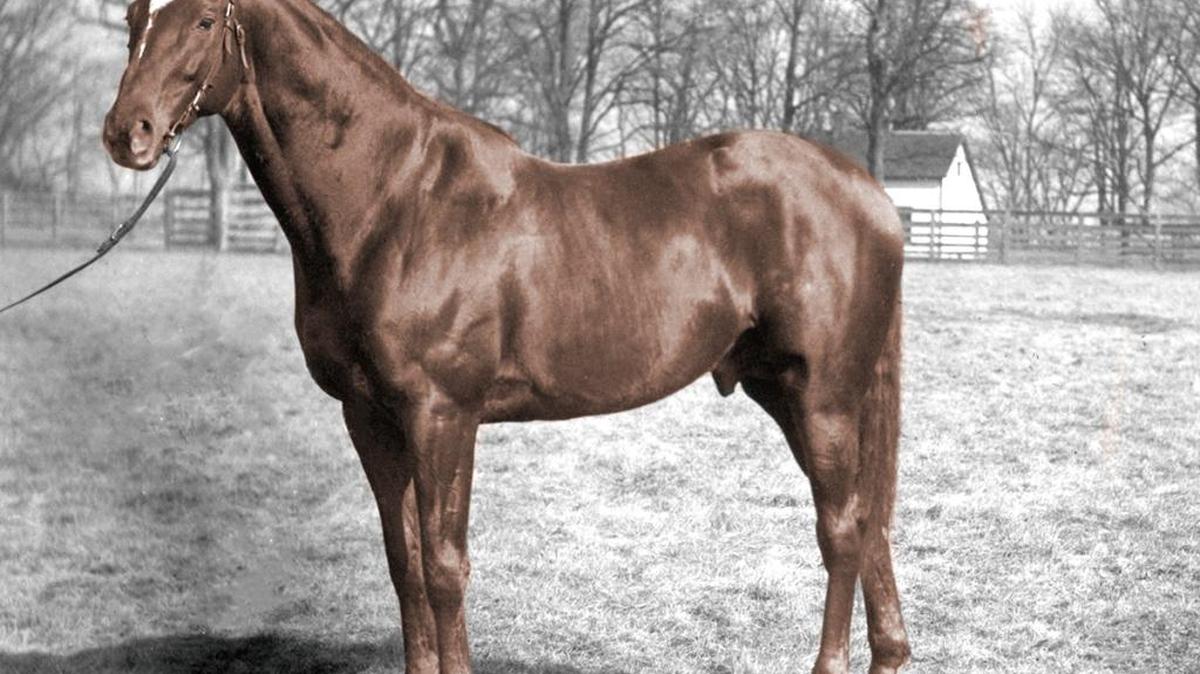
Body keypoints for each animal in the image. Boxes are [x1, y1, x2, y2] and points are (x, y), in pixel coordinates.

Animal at [102, 1, 910, 672]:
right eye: (133, 16)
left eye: (204, 19)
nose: (125, 133)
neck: (394, 203)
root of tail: (868, 193)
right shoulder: (371, 418)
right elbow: (404, 564)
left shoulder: (443, 416)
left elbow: (443, 568)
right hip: (790, 393)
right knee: (867, 521)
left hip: (821, 396)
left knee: (842, 529)